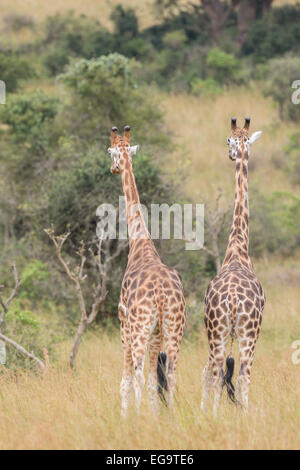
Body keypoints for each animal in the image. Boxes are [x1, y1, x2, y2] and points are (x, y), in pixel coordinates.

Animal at [108, 126, 185, 418]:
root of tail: (162, 294)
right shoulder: (156, 333)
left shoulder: (124, 323)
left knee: (139, 374)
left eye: (110, 151)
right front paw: (154, 417)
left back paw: (138, 418)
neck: (140, 243)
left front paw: (127, 417)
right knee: (171, 373)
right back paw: (171, 416)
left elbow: (127, 379)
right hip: (174, 328)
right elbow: (155, 380)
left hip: (140, 328)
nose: (112, 168)